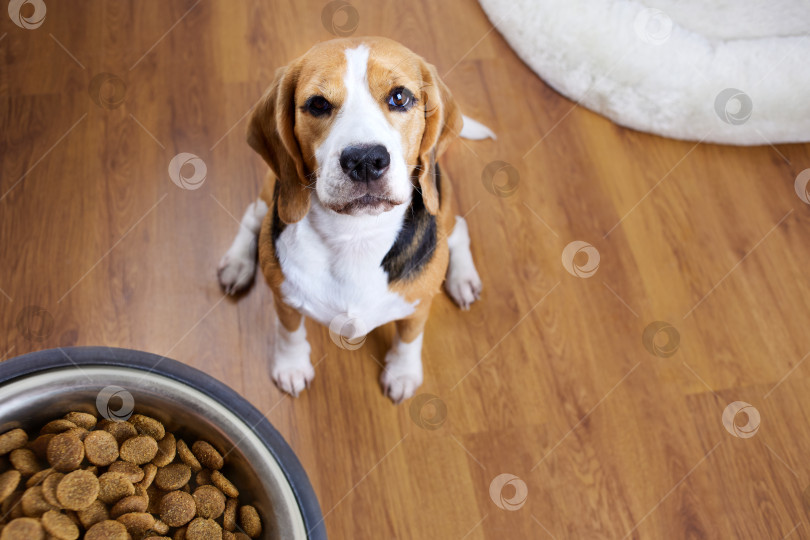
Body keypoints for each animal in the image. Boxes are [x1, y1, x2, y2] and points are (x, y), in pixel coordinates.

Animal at [216, 37, 492, 400]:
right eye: (318, 104)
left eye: (400, 97)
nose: (365, 160)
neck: (355, 235)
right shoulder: (285, 299)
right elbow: (289, 333)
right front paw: (291, 366)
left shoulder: (417, 307)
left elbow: (409, 339)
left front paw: (403, 373)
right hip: (268, 199)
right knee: (252, 216)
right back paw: (237, 264)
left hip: (442, 206)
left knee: (458, 228)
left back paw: (462, 278)